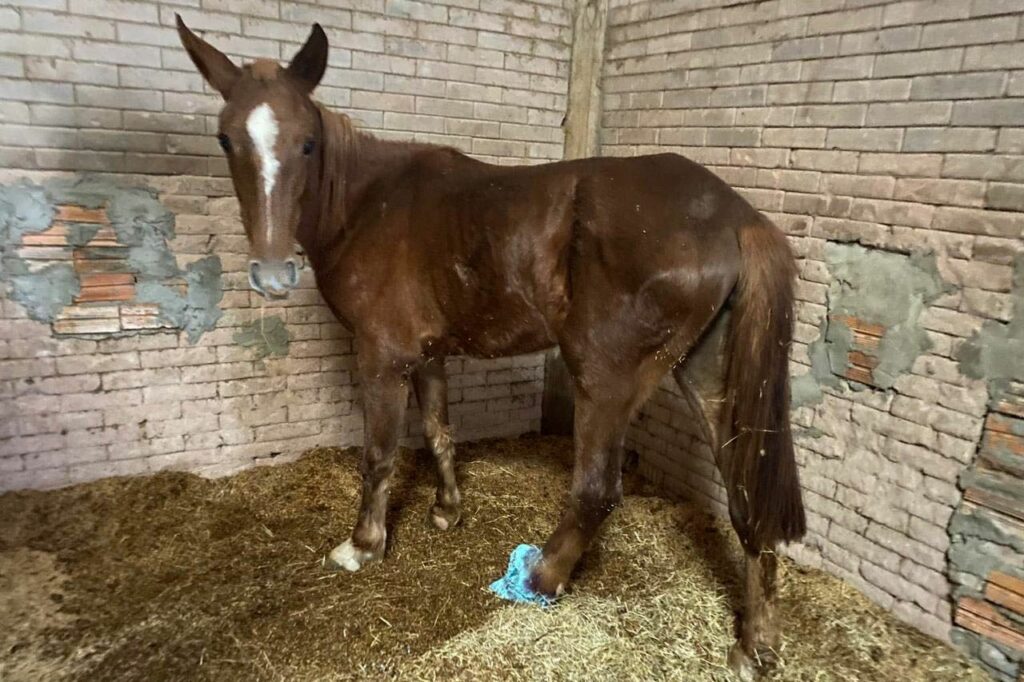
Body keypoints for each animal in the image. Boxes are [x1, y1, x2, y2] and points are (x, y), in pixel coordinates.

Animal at [178, 18, 806, 675]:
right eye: (226, 139)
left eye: (306, 143)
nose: (272, 273)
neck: (367, 204)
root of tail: (736, 215)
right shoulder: (427, 354)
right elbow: (438, 432)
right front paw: (446, 511)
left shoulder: (380, 357)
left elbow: (378, 455)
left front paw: (363, 546)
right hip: (704, 373)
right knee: (746, 496)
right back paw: (754, 644)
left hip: (605, 381)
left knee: (596, 492)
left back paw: (539, 578)